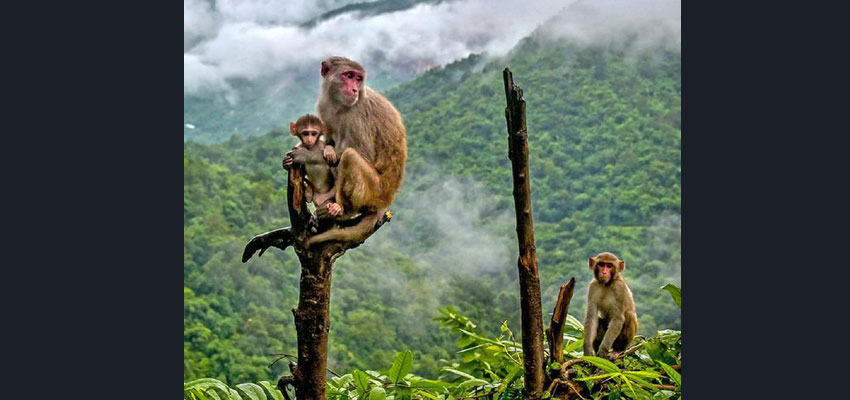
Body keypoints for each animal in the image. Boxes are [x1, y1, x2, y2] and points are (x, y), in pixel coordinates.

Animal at [304, 56, 407, 246]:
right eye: (349, 75)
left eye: (358, 79)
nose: (355, 89)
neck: (338, 104)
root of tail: (386, 202)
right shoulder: (324, 106)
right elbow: (328, 139)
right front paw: (328, 147)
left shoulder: (358, 115)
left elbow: (364, 154)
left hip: (375, 192)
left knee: (350, 157)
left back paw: (343, 210)